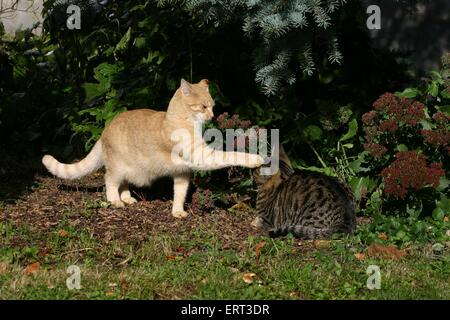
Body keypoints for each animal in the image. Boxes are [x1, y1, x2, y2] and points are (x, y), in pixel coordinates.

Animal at [42, 79, 264, 218]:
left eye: (212, 106)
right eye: (203, 107)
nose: (212, 116)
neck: (180, 120)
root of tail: (105, 130)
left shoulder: (182, 173)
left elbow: (180, 194)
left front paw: (177, 212)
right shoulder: (202, 155)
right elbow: (231, 155)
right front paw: (255, 159)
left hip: (129, 170)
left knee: (123, 184)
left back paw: (127, 198)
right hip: (117, 168)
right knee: (110, 182)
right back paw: (116, 201)